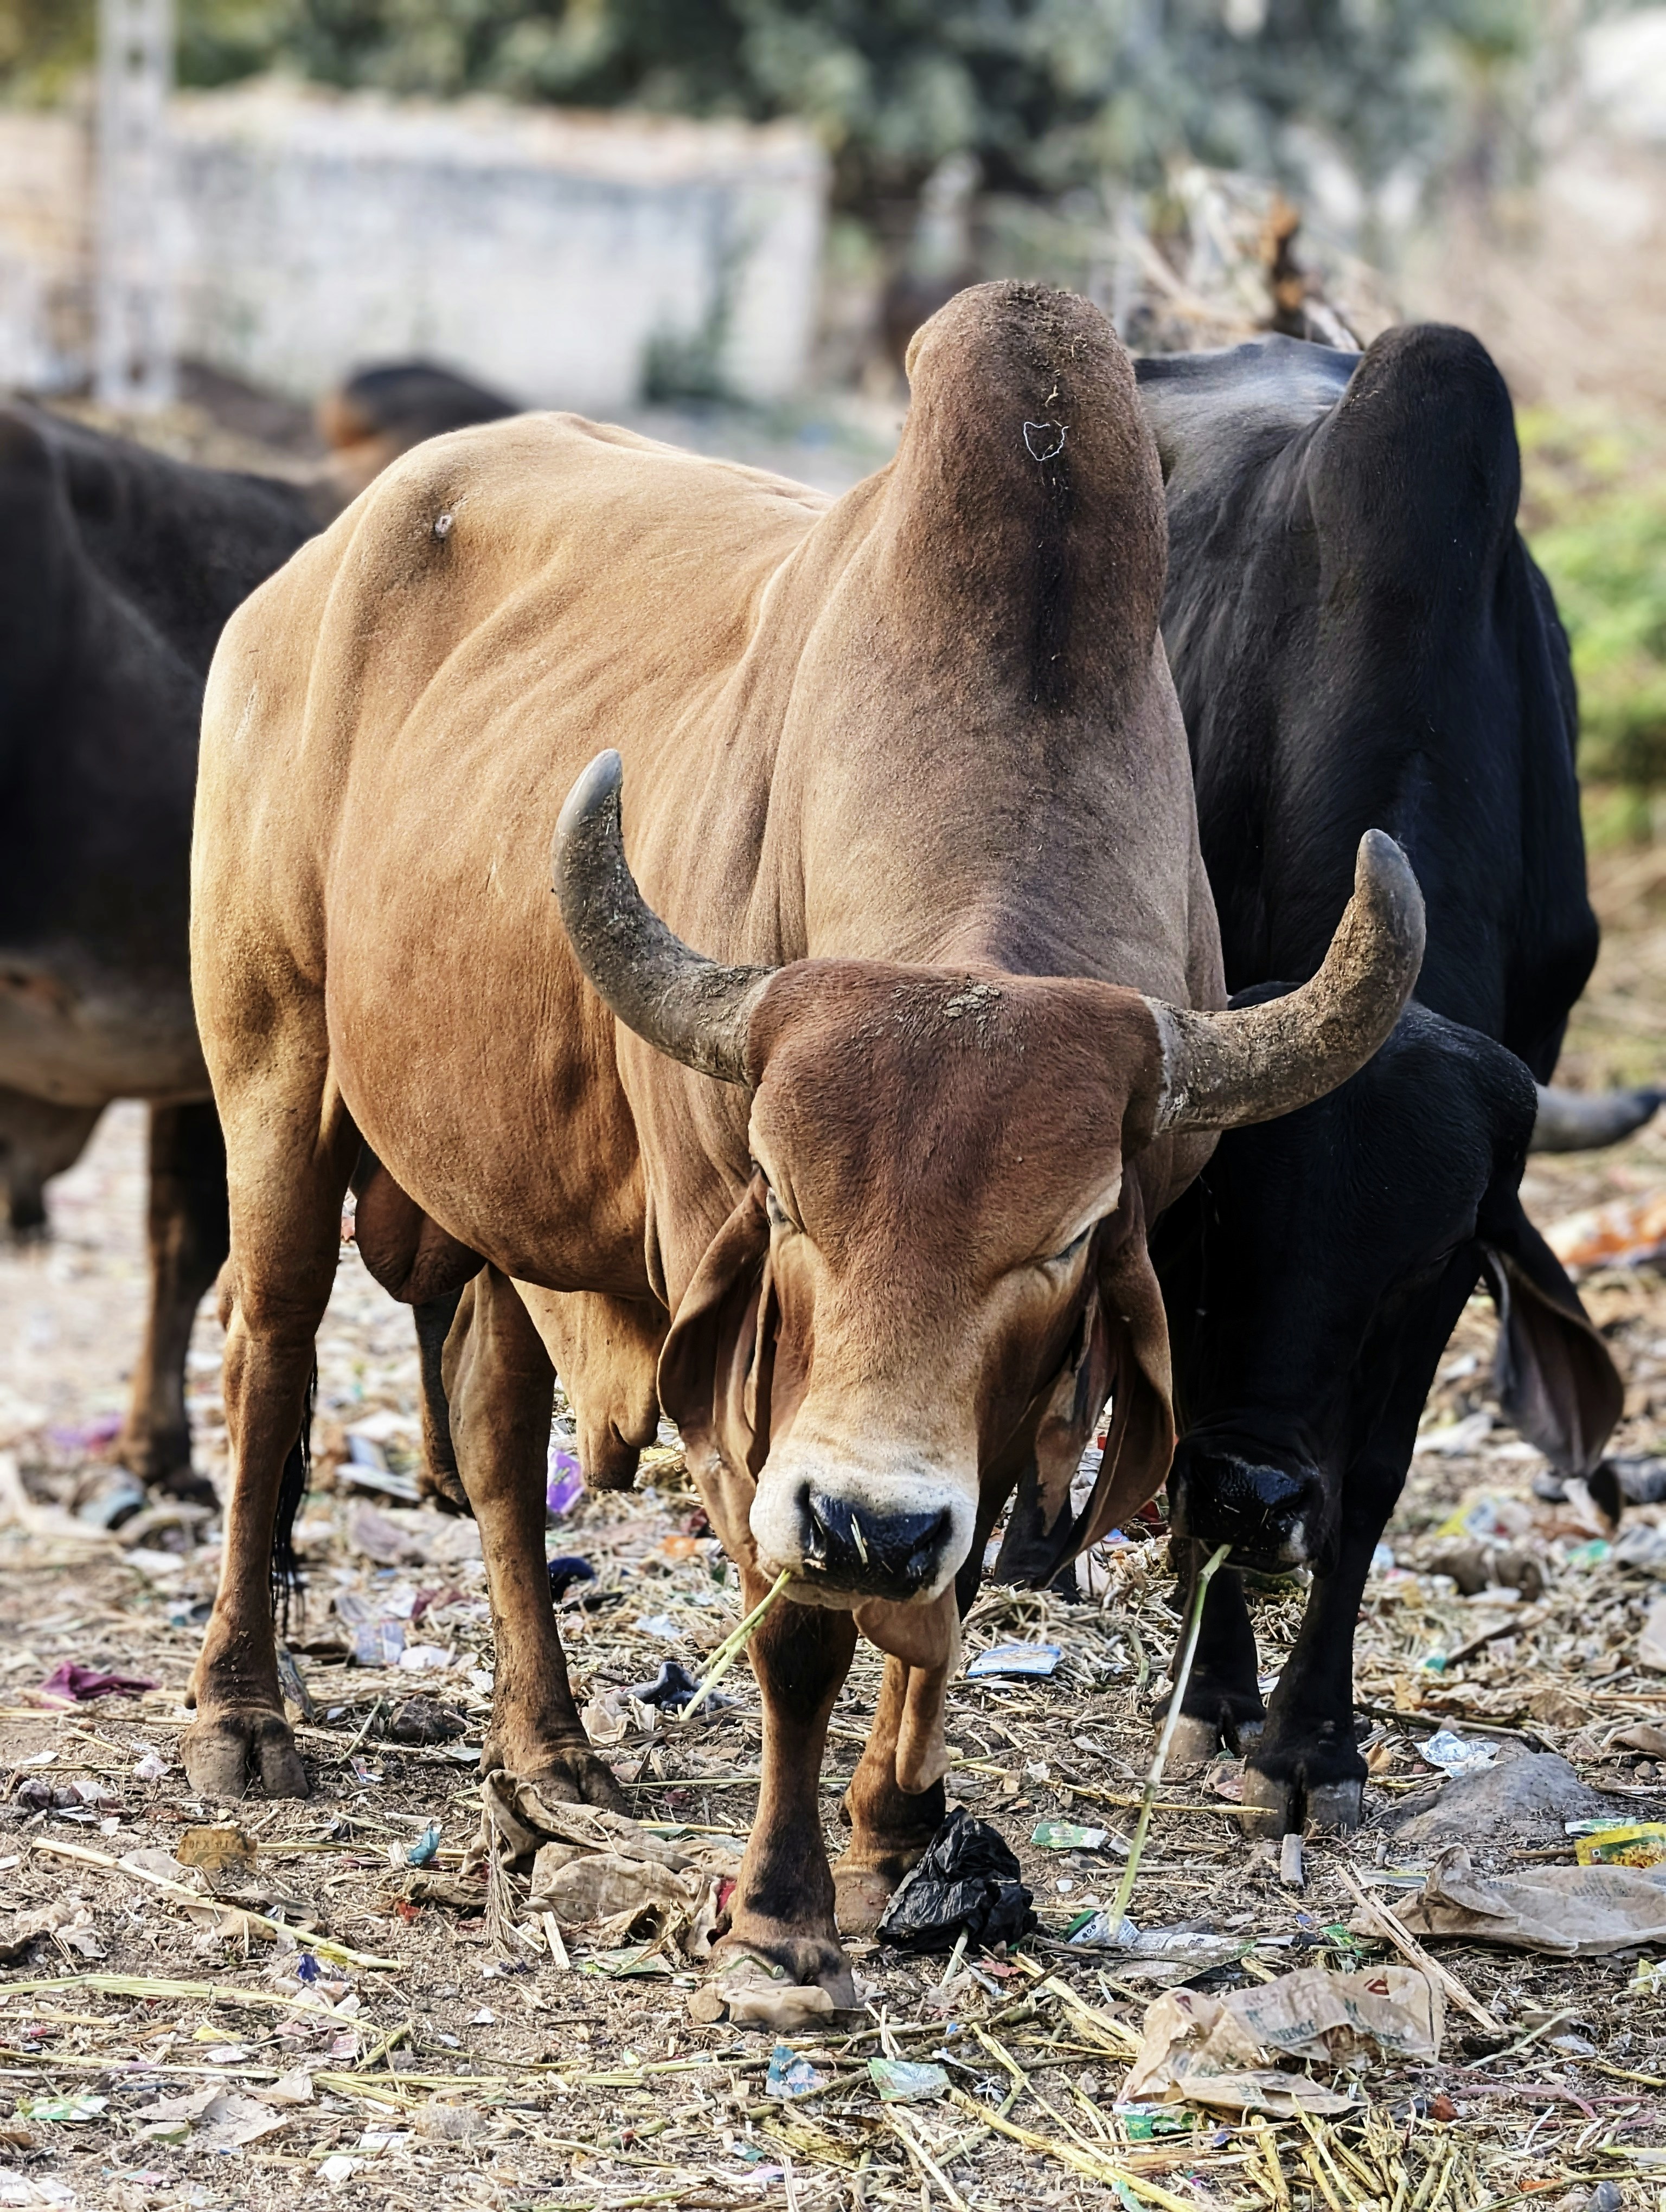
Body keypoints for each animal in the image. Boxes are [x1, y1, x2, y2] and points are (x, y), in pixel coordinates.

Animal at [186, 283, 1423, 2003]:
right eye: (780, 1199)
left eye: (1065, 1234)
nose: (864, 1514)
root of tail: (307, 574)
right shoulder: (744, 1379)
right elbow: (798, 1622)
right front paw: (779, 1912)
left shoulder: (984, 1406)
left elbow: (945, 1584)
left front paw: (900, 1831)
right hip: (275, 1072)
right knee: (271, 1362)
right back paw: (240, 1714)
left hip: (504, 1202)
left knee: (497, 1432)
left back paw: (551, 1749)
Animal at [1127, 326, 1649, 1832]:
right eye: (1206, 1223)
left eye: (1414, 1261)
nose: (1250, 1492)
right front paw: (1213, 1691)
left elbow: (1374, 1476)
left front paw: (1311, 1739)